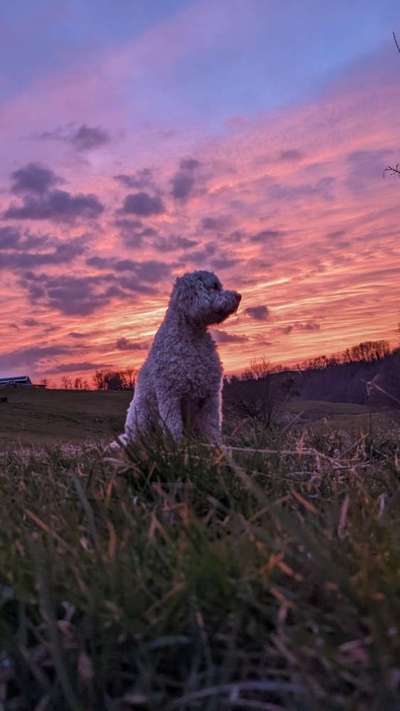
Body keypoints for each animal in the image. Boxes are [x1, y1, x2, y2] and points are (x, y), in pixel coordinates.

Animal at [119, 272, 241, 444]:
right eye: (215, 286)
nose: (239, 296)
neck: (192, 337)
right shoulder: (170, 396)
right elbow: (174, 428)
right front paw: (178, 449)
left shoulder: (211, 395)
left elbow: (212, 428)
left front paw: (218, 450)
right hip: (142, 414)